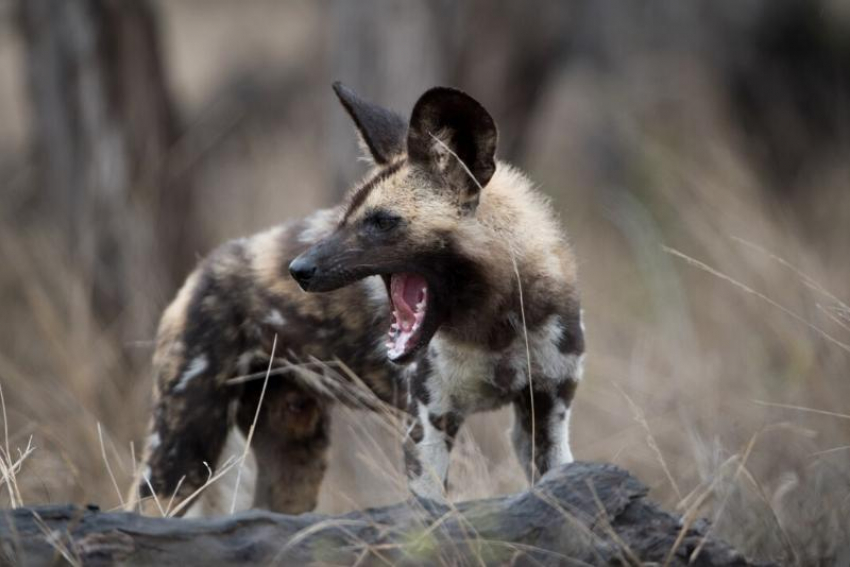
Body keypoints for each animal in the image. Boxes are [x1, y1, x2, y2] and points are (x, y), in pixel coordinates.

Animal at [134, 83, 584, 516]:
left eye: (381, 222)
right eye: (344, 217)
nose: (298, 269)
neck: (497, 323)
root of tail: (203, 269)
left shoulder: (546, 414)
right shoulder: (428, 425)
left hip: (294, 459)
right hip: (179, 456)